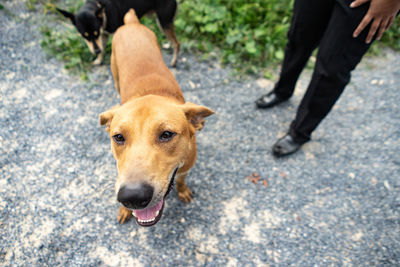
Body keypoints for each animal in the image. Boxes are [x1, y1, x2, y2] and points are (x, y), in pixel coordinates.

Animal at [99, 11, 214, 228]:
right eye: (118, 137)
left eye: (167, 134)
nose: (132, 197)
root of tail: (132, 23)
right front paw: (125, 210)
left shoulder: (185, 169)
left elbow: (181, 181)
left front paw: (183, 190)